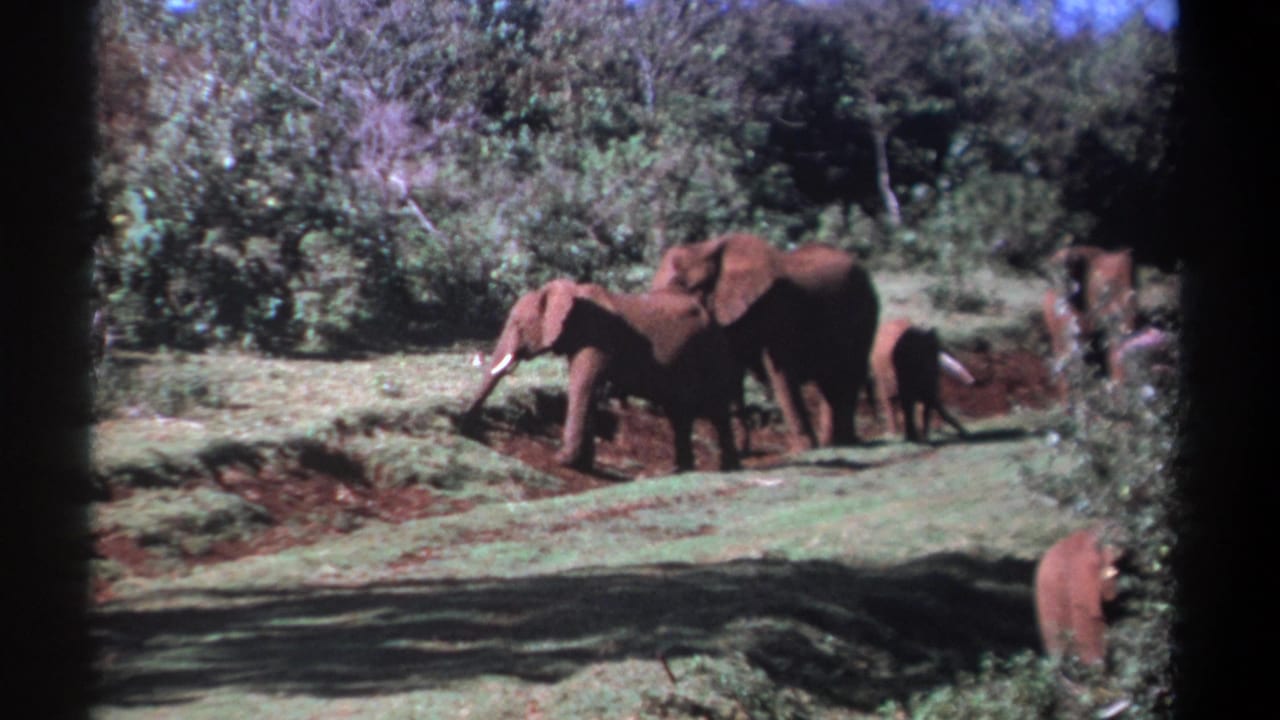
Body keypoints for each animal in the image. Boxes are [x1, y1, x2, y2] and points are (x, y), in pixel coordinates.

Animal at [461, 279, 741, 474]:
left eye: (518, 325)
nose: (465, 420)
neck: (569, 293)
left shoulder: (597, 335)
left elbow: (582, 385)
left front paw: (562, 460)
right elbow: (590, 391)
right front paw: (583, 464)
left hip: (712, 347)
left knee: (716, 407)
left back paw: (729, 469)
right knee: (679, 412)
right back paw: (681, 470)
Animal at [650, 233, 880, 454]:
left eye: (682, 284)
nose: (746, 451)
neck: (707, 246)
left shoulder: (777, 306)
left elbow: (780, 371)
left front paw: (801, 450)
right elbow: (732, 371)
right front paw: (741, 449)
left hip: (865, 311)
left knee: (849, 374)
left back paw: (843, 442)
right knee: (830, 381)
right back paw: (833, 443)